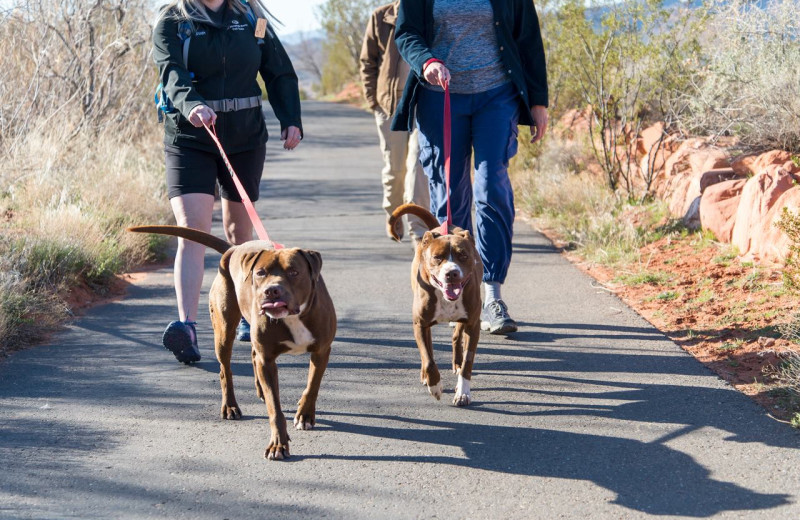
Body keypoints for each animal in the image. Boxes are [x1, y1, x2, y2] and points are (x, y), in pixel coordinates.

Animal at [128, 225, 334, 462]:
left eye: (294, 272)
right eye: (260, 273)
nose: (271, 290)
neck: (293, 317)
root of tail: (233, 250)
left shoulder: (321, 351)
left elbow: (312, 385)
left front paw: (305, 415)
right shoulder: (267, 360)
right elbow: (275, 408)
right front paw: (278, 444)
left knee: (253, 356)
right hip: (224, 331)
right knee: (225, 370)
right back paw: (230, 407)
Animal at [388, 203, 482, 406]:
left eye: (463, 255)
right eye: (437, 257)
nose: (451, 273)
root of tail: (440, 228)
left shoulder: (473, 324)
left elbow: (468, 362)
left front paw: (463, 392)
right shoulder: (420, 323)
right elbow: (429, 359)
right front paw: (435, 385)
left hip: (462, 319)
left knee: (456, 336)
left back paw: (456, 363)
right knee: (428, 349)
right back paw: (426, 376)